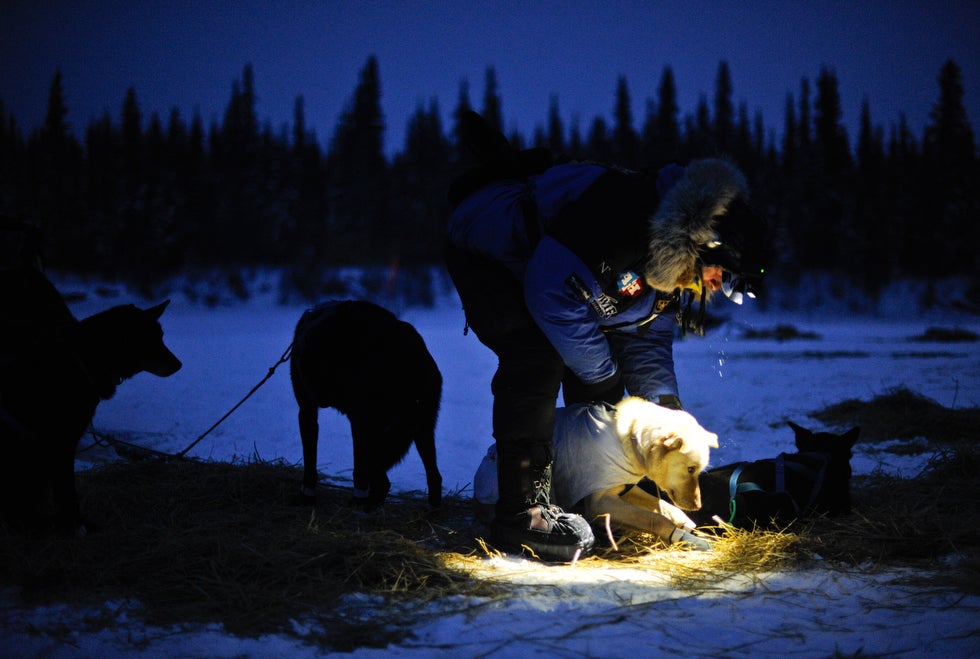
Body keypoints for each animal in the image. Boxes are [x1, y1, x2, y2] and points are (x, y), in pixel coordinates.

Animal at [0, 266, 182, 532]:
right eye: (149, 340)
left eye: (161, 336)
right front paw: (74, 529)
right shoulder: (61, 445)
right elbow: (67, 497)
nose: (179, 365)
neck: (83, 359)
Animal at [290, 300, 442, 510]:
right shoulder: (308, 409)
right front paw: (307, 495)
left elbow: (359, 469)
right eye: (314, 382)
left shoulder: (360, 420)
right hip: (415, 430)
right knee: (424, 475)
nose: (324, 401)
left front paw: (358, 499)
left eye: (328, 379)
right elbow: (310, 462)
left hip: (404, 428)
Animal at [474, 398, 720, 552]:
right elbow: (654, 517)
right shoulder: (601, 501)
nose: (698, 506)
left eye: (699, 470)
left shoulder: (623, 489)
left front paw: (685, 523)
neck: (628, 438)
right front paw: (684, 536)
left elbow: (665, 507)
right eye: (690, 469)